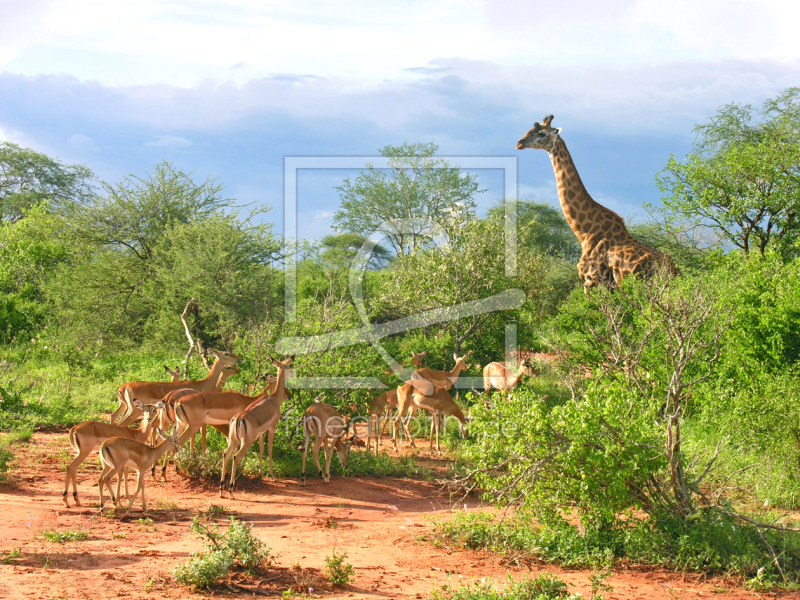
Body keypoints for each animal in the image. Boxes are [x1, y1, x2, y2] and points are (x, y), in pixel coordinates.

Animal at [516, 116, 680, 290]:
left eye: (542, 133)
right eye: (529, 130)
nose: (520, 143)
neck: (585, 231)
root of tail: (674, 271)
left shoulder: (592, 280)